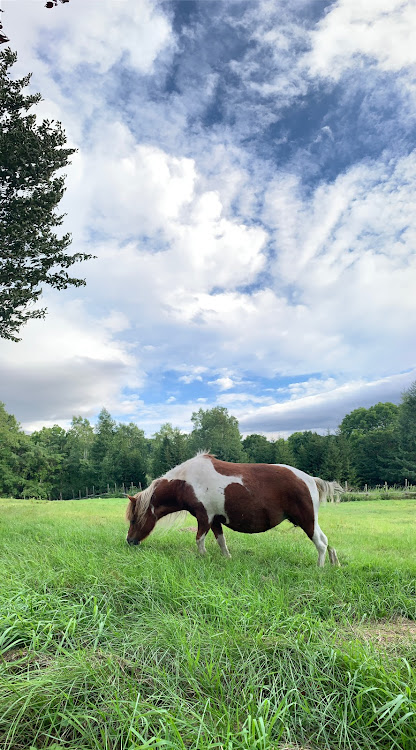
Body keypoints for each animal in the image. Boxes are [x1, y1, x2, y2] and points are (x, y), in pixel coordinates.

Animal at [126, 452, 342, 568]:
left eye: (134, 520)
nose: (129, 541)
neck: (186, 482)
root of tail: (310, 479)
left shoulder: (204, 517)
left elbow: (199, 540)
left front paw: (202, 557)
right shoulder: (214, 520)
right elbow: (221, 541)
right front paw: (227, 558)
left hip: (307, 520)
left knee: (321, 544)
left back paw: (319, 567)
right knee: (326, 542)